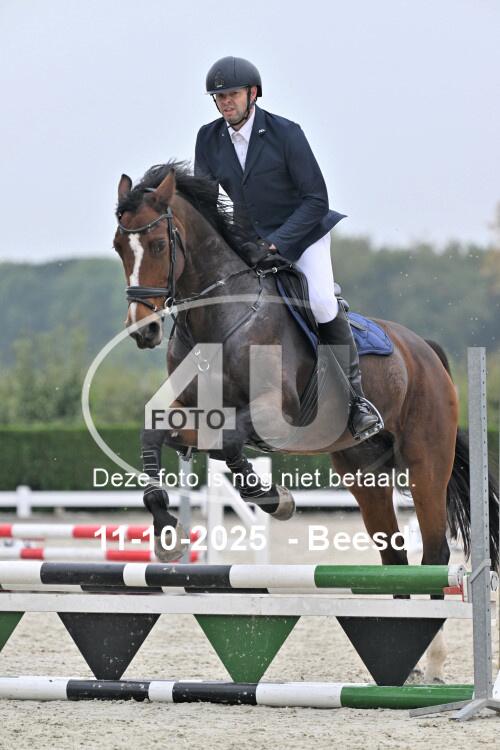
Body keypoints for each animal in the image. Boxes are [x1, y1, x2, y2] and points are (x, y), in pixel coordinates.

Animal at [112, 161, 499, 682]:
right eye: (119, 245)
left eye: (156, 245)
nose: (144, 330)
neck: (219, 317)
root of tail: (426, 352)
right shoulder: (192, 410)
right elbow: (157, 433)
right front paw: (166, 530)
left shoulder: (276, 414)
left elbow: (231, 444)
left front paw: (275, 500)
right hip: (363, 474)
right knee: (394, 554)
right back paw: (406, 657)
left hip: (426, 464)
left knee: (434, 554)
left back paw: (432, 662)